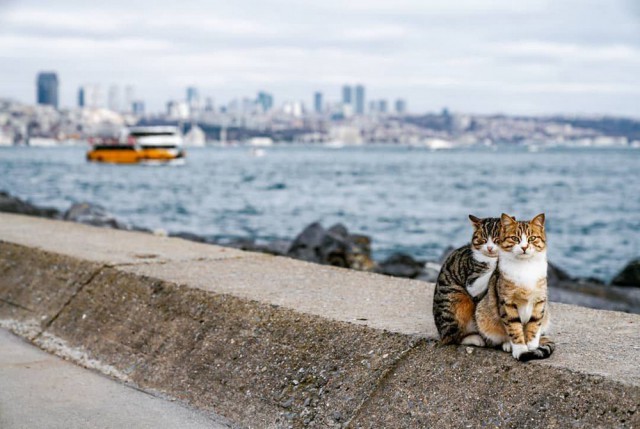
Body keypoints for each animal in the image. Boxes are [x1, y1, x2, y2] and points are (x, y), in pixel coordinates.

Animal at [432, 216, 502, 346]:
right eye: (483, 239)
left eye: (497, 239)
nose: (489, 248)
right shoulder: (471, 281)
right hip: (455, 300)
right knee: (453, 337)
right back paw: (474, 339)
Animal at [476, 212, 556, 360]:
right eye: (514, 238)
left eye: (532, 238)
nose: (524, 247)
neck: (525, 266)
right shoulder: (507, 302)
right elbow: (514, 327)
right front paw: (520, 350)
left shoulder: (539, 300)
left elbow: (534, 325)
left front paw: (532, 347)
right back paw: (508, 344)